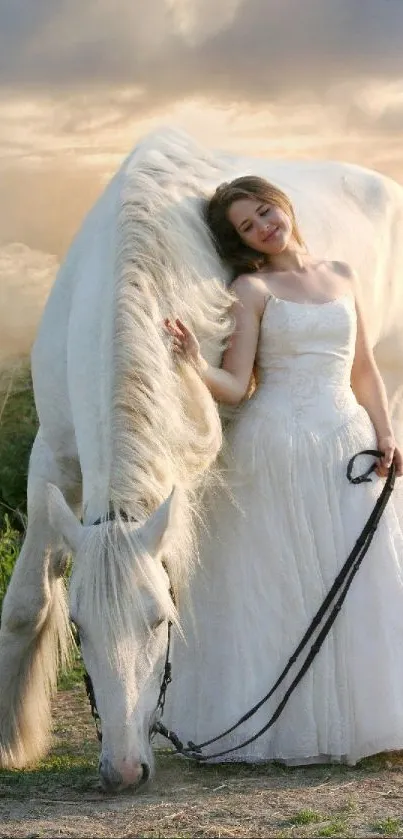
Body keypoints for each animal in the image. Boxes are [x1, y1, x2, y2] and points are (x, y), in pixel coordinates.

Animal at [0, 128, 403, 792]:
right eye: (80, 629)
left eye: (161, 621)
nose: (123, 770)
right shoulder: (51, 455)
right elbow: (26, 604)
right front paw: (10, 739)